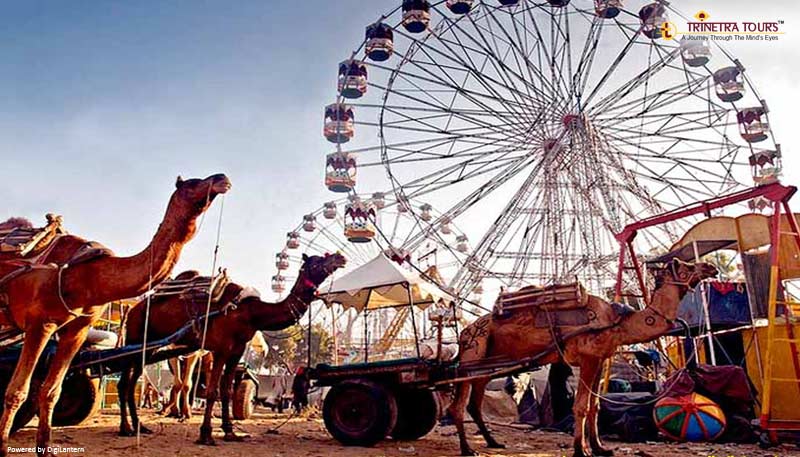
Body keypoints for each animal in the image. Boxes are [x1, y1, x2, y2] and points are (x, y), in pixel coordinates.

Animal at [0, 173, 231, 454]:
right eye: (192, 183)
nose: (222, 178)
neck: (88, 277)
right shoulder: (40, 323)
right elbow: (16, 392)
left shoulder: (77, 330)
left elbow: (51, 391)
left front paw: (47, 450)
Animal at [117, 251, 346, 444]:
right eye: (316, 261)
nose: (340, 257)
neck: (250, 312)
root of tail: (132, 311)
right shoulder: (221, 348)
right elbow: (212, 392)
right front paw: (206, 435)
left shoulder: (237, 351)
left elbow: (226, 391)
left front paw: (230, 432)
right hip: (135, 339)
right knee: (124, 383)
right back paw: (126, 428)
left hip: (148, 349)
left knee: (131, 383)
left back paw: (139, 426)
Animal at [446, 258, 716, 454]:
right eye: (686, 266)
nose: (710, 266)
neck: (617, 323)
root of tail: (466, 331)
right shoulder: (588, 358)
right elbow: (581, 406)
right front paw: (581, 450)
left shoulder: (601, 360)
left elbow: (595, 405)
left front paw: (600, 448)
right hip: (473, 352)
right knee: (458, 404)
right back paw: (468, 449)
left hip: (486, 365)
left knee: (474, 404)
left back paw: (492, 442)